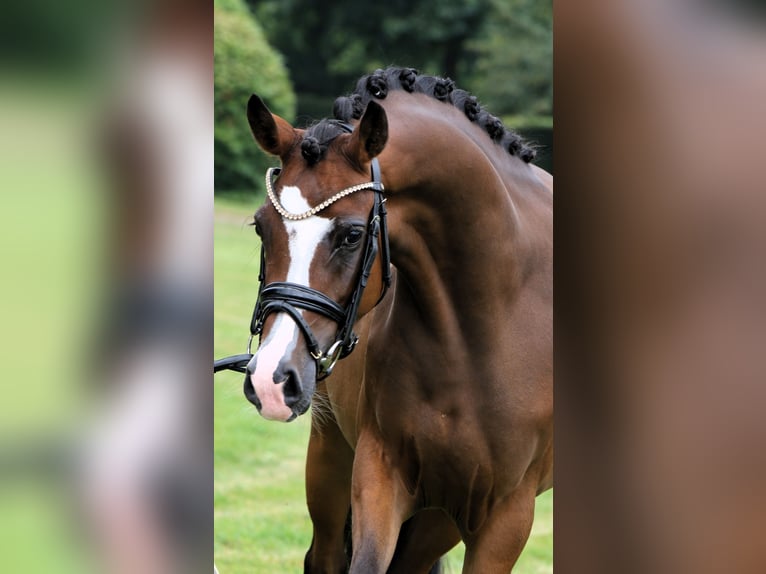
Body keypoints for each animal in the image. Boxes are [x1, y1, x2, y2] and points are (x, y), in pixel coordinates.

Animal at [243, 65, 548, 572]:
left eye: (351, 235)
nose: (271, 380)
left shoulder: (506, 512)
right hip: (332, 456)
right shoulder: (379, 470)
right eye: (261, 227)